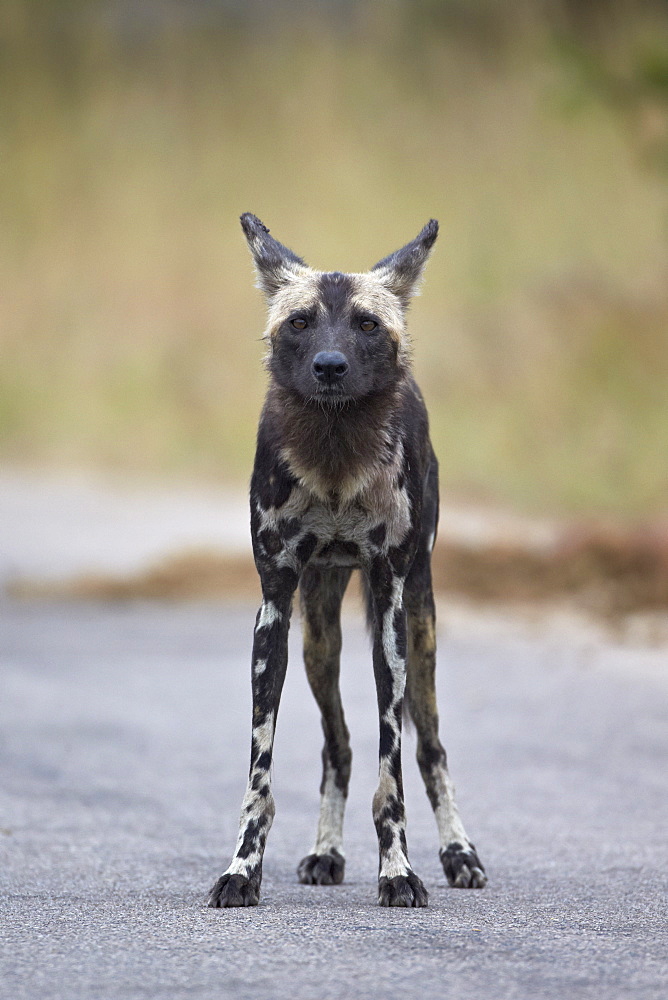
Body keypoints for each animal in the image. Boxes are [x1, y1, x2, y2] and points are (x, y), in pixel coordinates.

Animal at [209, 213, 486, 908]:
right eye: (301, 322)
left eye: (365, 324)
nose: (330, 366)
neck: (335, 459)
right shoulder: (275, 611)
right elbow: (260, 779)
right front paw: (242, 870)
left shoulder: (390, 611)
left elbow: (395, 776)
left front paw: (399, 873)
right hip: (319, 640)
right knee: (338, 747)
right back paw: (326, 852)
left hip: (420, 627)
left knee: (432, 748)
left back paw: (459, 853)